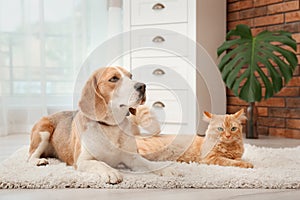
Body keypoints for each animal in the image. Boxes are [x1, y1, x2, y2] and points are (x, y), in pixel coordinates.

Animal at [27, 67, 178, 184]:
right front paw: (111, 171)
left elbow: (149, 163)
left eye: (130, 76)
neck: (110, 126)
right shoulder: (82, 161)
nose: (142, 86)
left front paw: (164, 168)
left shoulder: (132, 158)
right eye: (114, 79)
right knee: (29, 157)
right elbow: (100, 163)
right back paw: (39, 161)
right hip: (44, 132)